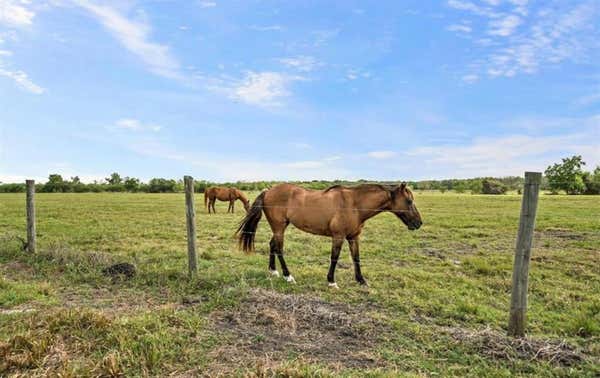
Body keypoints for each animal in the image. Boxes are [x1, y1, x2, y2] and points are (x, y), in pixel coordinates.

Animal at [236, 183, 422, 286]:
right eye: (409, 201)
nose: (418, 223)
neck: (354, 204)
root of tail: (268, 191)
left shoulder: (353, 237)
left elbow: (356, 257)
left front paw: (361, 280)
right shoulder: (338, 236)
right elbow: (335, 257)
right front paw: (331, 281)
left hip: (279, 228)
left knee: (272, 245)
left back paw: (273, 271)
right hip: (279, 227)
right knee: (279, 248)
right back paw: (288, 276)